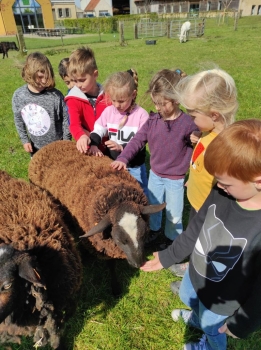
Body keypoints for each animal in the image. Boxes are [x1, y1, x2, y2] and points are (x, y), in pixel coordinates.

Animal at [29, 139, 165, 296]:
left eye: (144, 234)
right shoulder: (103, 245)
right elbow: (111, 264)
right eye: (120, 240)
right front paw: (115, 287)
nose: (138, 263)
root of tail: (50, 145)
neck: (117, 199)